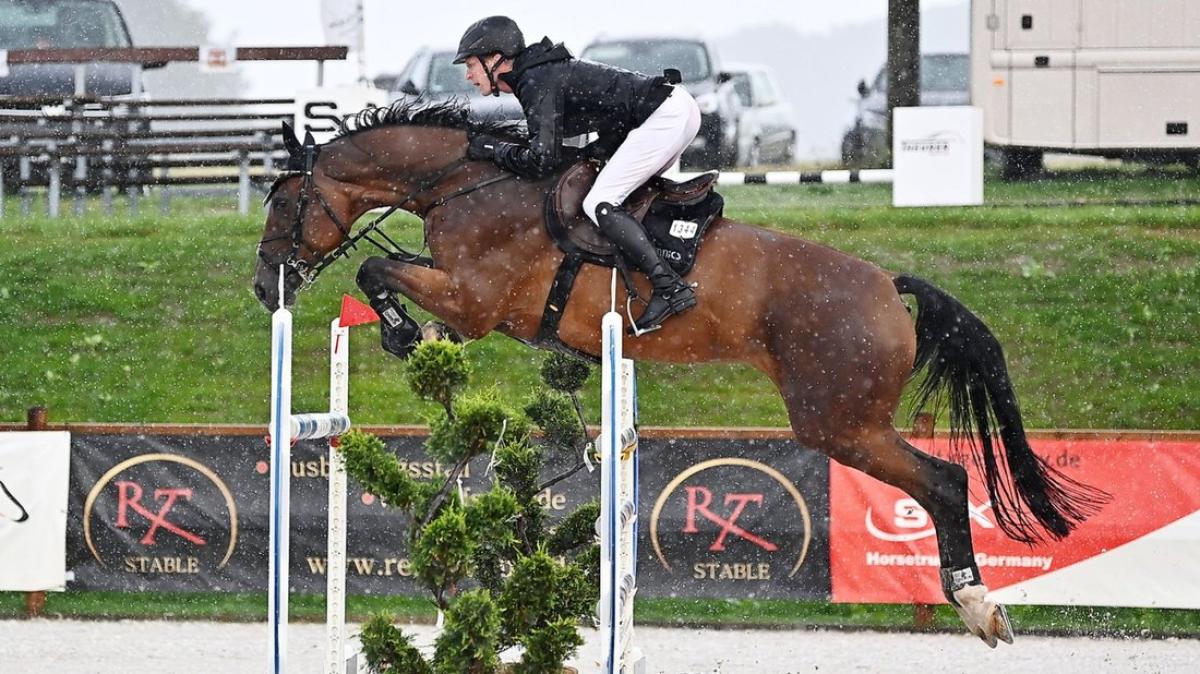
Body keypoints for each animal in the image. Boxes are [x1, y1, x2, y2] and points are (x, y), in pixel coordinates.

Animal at [253, 99, 1104, 647]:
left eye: (286, 202)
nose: (265, 287)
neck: (468, 184)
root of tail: (885, 287)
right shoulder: (470, 299)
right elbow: (383, 272)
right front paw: (410, 335)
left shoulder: (475, 299)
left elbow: (373, 267)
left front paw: (404, 332)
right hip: (845, 420)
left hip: (840, 421)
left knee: (944, 483)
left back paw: (978, 607)